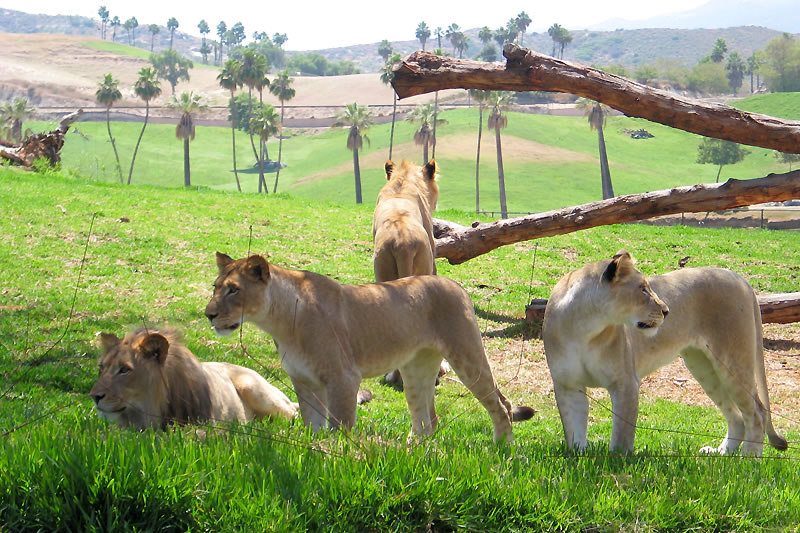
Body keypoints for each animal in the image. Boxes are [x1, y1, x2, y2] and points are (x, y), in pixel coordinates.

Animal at [204, 252, 534, 442]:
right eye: (215, 287)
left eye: (234, 290)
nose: (209, 314)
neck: (280, 321)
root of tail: (456, 285)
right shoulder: (304, 381)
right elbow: (312, 425)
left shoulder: (344, 378)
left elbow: (339, 429)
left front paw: (335, 461)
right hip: (416, 368)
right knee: (427, 421)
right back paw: (413, 453)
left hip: (467, 355)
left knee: (501, 406)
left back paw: (502, 451)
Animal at [543, 250, 787, 456]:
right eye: (643, 289)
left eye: (648, 286)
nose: (667, 311)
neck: (584, 328)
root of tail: (739, 278)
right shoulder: (568, 385)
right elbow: (574, 432)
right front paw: (578, 457)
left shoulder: (625, 383)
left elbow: (622, 434)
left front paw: (617, 462)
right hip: (704, 367)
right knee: (736, 416)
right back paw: (722, 454)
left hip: (733, 361)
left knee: (757, 413)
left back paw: (748, 460)